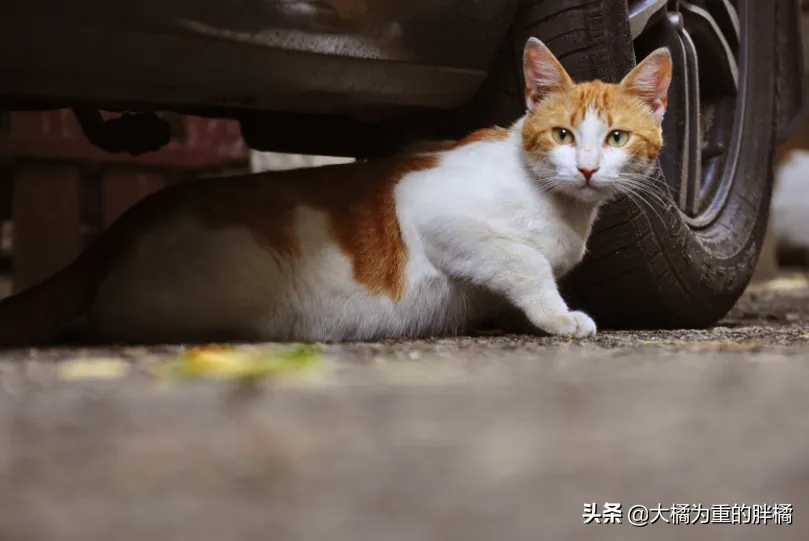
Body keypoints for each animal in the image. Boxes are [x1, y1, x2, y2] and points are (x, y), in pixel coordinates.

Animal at [0, 38, 668, 344]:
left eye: (614, 137)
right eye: (562, 134)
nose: (587, 168)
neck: (560, 208)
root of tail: (130, 219)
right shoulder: (433, 208)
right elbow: (523, 261)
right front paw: (558, 316)